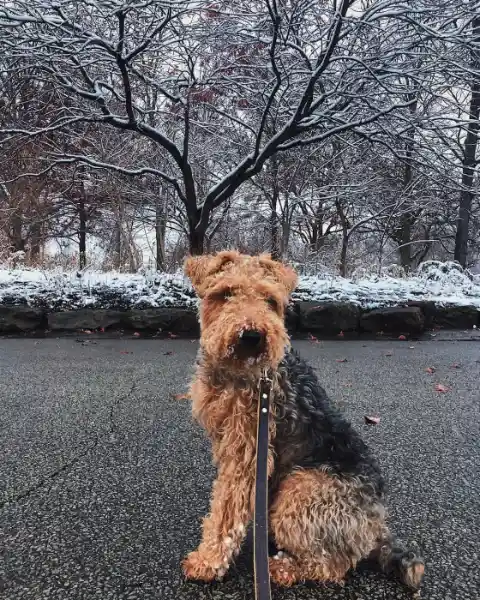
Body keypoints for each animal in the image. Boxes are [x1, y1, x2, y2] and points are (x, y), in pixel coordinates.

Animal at [181, 251, 424, 588]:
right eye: (225, 293)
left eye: (270, 299)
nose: (252, 335)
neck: (240, 372)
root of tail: (378, 522)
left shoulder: (247, 450)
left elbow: (226, 511)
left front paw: (208, 561)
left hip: (299, 492)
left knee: (331, 565)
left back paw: (282, 567)